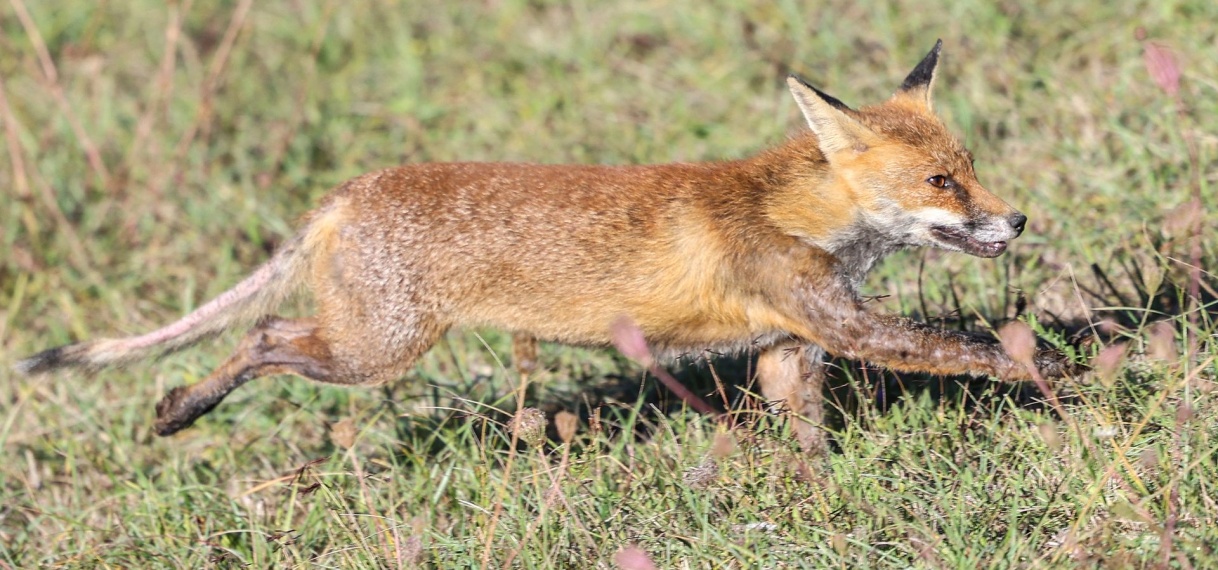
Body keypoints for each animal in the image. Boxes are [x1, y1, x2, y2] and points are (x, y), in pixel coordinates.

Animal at [14, 41, 1071, 450]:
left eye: (970, 168)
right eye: (942, 185)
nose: (1018, 221)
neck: (796, 215)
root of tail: (348, 191)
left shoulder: (790, 348)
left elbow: (808, 438)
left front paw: (819, 498)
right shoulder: (844, 328)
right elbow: (975, 350)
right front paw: (1071, 376)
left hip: (366, 345)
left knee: (264, 330)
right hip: (374, 351)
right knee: (265, 334)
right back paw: (180, 410)